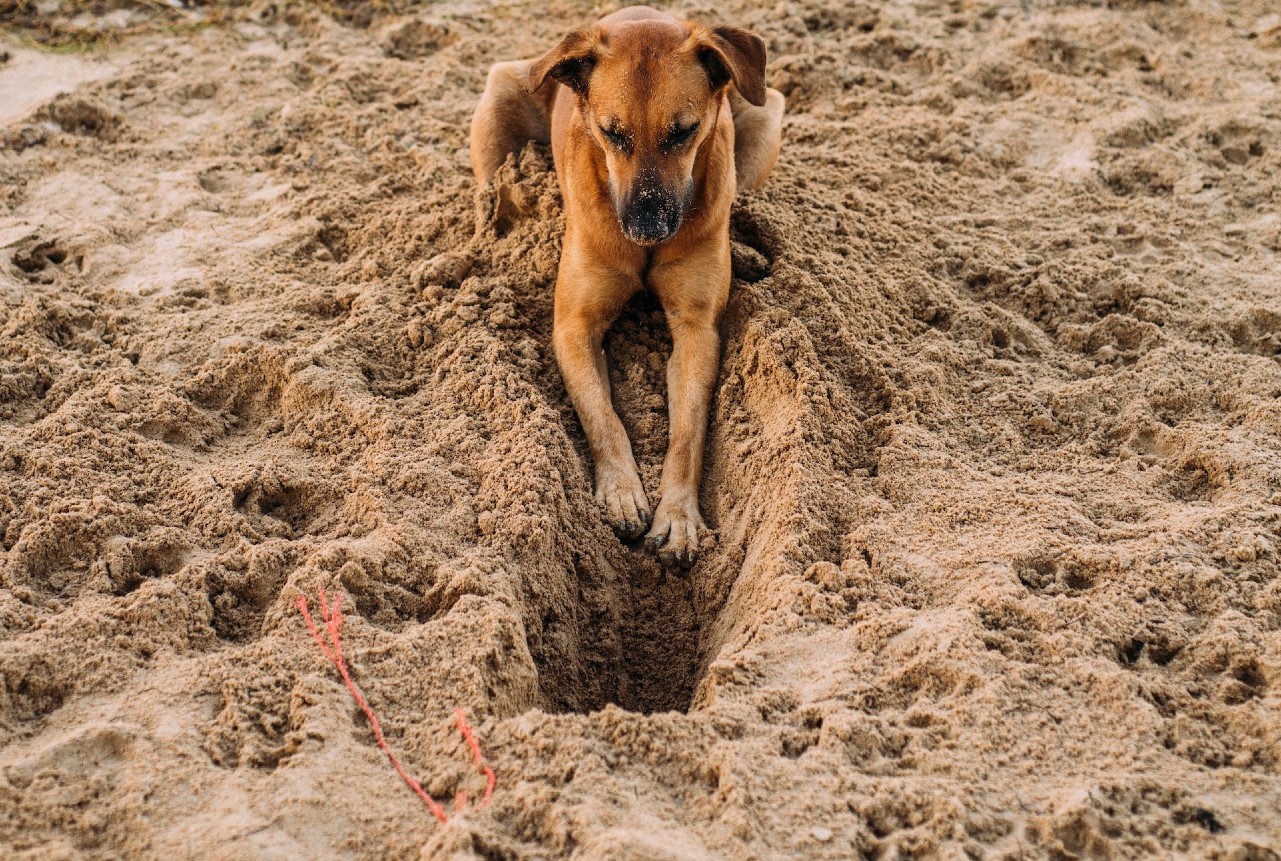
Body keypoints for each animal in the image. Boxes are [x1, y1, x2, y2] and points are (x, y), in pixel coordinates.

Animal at [473, 10, 778, 568]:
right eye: (611, 133)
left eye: (684, 132)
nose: (646, 226)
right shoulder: (574, 327)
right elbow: (602, 415)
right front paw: (620, 491)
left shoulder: (697, 330)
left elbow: (687, 432)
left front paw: (677, 514)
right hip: (499, 103)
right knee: (491, 195)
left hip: (767, 114)